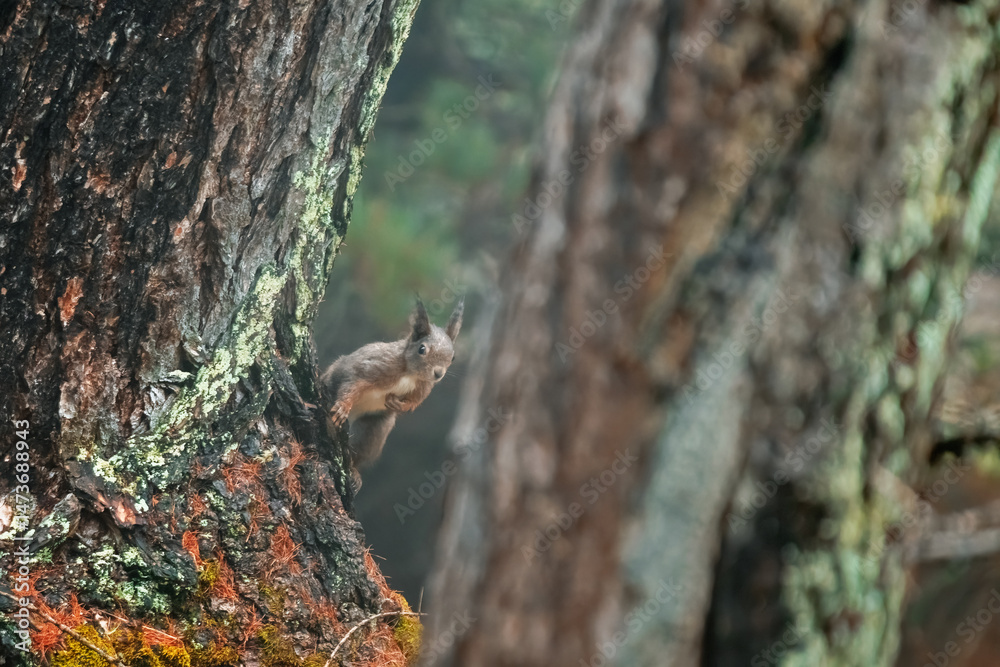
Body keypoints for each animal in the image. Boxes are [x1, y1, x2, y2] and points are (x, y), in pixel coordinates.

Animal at [322, 298, 463, 490]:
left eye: (453, 357)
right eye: (422, 349)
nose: (438, 373)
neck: (410, 373)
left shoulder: (424, 387)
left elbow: (415, 400)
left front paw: (401, 405)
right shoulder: (374, 367)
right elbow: (354, 383)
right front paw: (343, 406)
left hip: (374, 428)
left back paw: (354, 472)